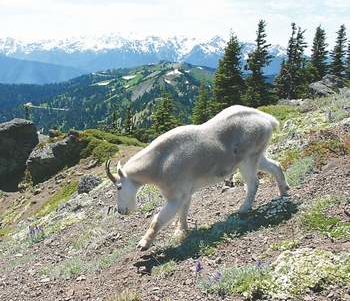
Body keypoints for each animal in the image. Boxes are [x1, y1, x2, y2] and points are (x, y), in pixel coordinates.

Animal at [106, 104, 290, 250]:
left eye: (119, 187)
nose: (121, 211)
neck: (158, 164)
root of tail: (267, 120)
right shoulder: (186, 193)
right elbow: (183, 212)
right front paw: (181, 232)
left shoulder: (175, 196)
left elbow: (157, 220)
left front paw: (143, 244)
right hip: (258, 155)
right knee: (275, 166)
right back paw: (284, 191)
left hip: (247, 159)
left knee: (253, 183)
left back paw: (244, 208)